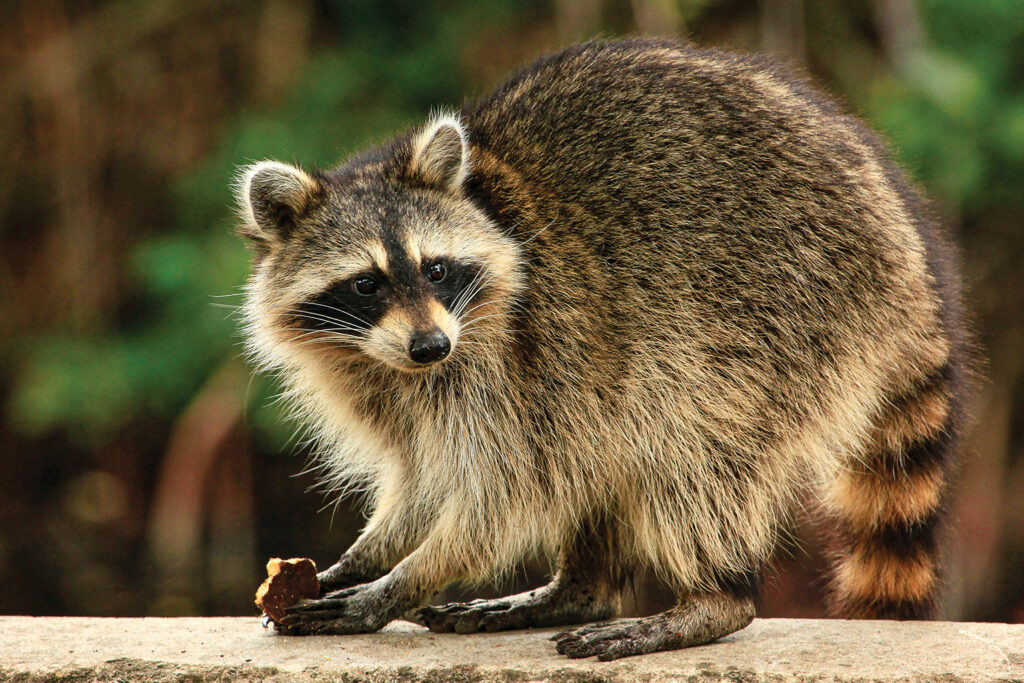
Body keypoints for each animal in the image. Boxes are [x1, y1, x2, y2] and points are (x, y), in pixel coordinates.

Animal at [235, 39, 973, 660]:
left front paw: (399, 583)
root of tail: (907, 243)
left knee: (689, 440)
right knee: (609, 449)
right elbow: (426, 476)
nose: (431, 345)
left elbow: (501, 494)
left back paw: (712, 598)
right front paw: (367, 554)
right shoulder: (397, 382)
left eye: (436, 269)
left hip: (786, 308)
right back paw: (579, 590)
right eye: (366, 283)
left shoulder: (521, 354)